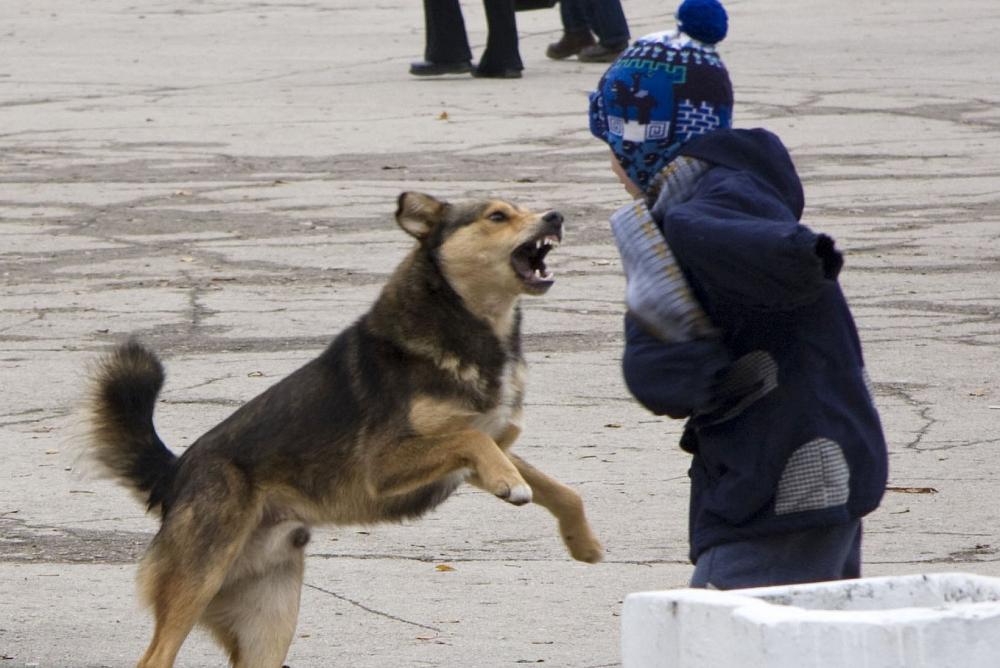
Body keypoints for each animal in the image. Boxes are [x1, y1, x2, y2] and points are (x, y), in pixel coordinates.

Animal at [88, 192, 600, 668]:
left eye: (525, 208)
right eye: (497, 216)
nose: (555, 216)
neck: (469, 326)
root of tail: (176, 474)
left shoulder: (484, 451)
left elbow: (563, 490)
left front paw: (584, 542)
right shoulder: (386, 465)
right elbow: (470, 439)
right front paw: (511, 485)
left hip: (268, 620)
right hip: (199, 578)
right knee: (154, 658)